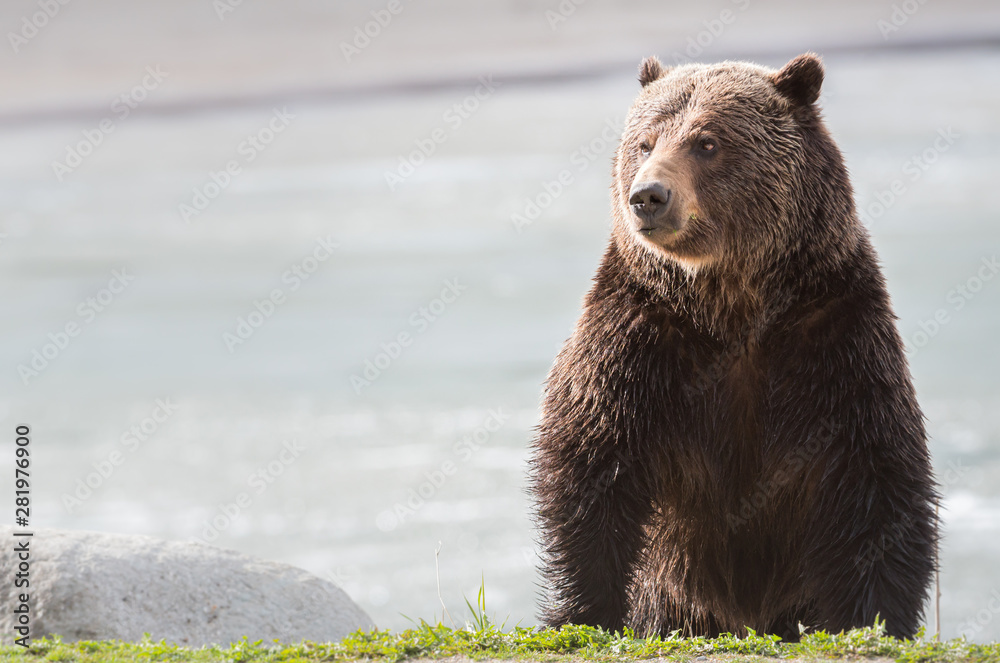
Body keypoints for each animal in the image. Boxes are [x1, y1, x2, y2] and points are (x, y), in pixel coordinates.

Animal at [529, 53, 937, 642]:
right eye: (645, 142)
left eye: (707, 141)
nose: (648, 196)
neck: (732, 309)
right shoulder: (642, 336)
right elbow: (590, 456)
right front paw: (583, 612)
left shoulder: (832, 335)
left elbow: (876, 475)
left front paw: (873, 617)